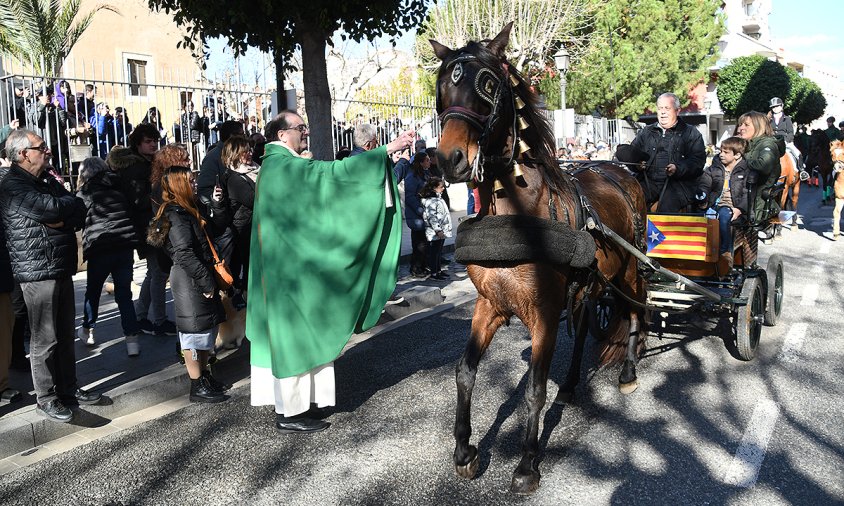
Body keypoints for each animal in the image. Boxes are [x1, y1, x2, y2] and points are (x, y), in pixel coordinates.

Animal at [432, 24, 648, 494]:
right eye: (442, 86)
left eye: (488, 83)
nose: (449, 158)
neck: (517, 210)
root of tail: (619, 170)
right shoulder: (489, 305)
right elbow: (464, 370)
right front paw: (464, 451)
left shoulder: (544, 312)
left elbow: (533, 389)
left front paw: (527, 463)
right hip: (592, 282)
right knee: (585, 326)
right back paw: (570, 384)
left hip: (627, 270)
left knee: (637, 309)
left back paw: (629, 368)